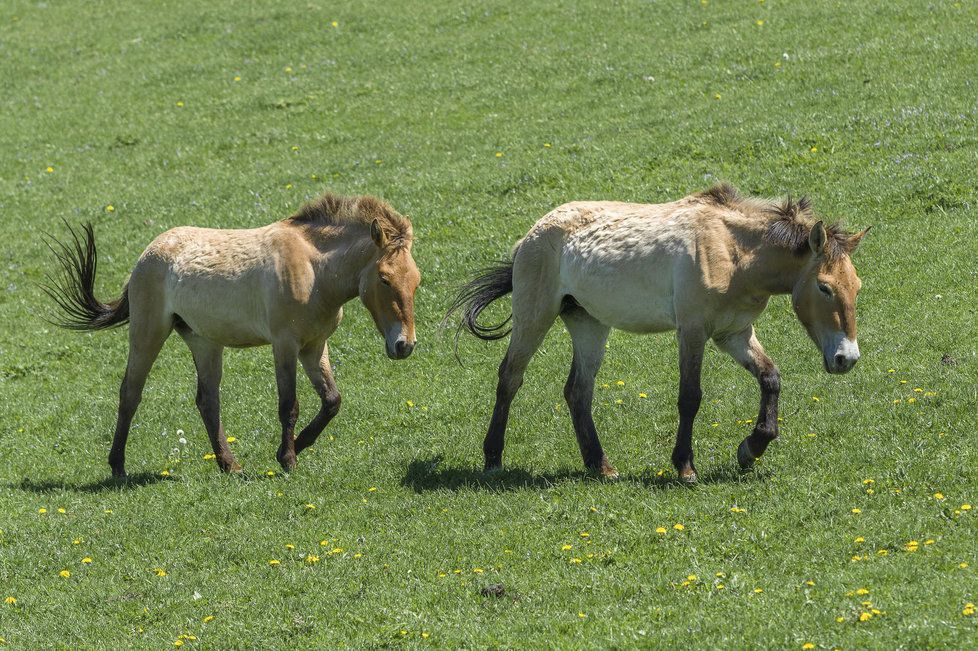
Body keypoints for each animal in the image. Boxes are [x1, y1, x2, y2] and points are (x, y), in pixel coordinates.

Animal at [43, 191, 418, 476]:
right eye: (384, 279)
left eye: (416, 279)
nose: (405, 345)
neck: (314, 269)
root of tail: (148, 253)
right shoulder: (285, 345)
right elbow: (289, 405)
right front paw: (288, 459)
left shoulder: (314, 346)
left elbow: (331, 401)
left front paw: (297, 446)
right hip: (148, 332)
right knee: (130, 393)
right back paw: (118, 467)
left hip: (205, 342)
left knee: (207, 400)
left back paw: (229, 465)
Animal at [446, 183, 864, 484]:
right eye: (825, 287)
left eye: (856, 286)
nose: (847, 358)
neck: (733, 251)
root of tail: (531, 235)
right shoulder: (693, 331)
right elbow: (690, 397)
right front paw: (686, 467)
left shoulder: (734, 332)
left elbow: (770, 378)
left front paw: (752, 448)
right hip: (535, 316)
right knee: (510, 378)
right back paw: (493, 458)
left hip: (589, 324)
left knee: (578, 391)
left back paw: (600, 465)